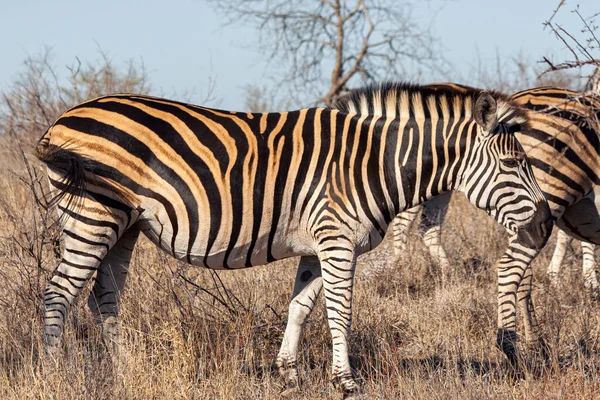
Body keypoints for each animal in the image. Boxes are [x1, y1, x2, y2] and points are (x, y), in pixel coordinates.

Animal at [35, 83, 552, 396]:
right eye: (513, 164)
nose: (546, 222)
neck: (373, 161)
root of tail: (62, 118)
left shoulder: (318, 245)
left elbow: (301, 308)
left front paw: (289, 374)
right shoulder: (337, 238)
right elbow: (340, 312)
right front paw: (346, 383)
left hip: (123, 226)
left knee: (103, 298)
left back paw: (121, 372)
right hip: (92, 215)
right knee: (57, 294)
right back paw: (55, 374)